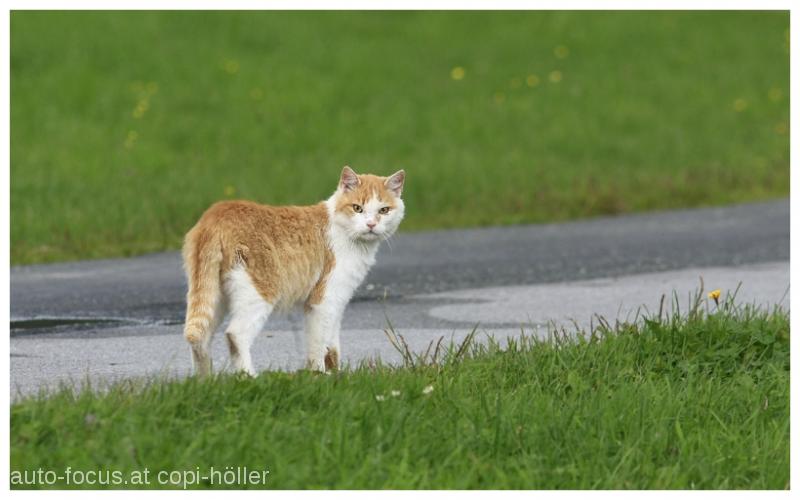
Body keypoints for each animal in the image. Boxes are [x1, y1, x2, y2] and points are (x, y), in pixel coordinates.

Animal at [182, 166, 406, 376]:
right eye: (357, 208)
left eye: (384, 210)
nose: (371, 224)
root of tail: (217, 213)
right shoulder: (323, 302)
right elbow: (317, 346)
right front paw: (319, 375)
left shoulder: (337, 303)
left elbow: (332, 346)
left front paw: (335, 374)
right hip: (259, 294)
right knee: (235, 335)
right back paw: (249, 377)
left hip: (215, 298)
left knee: (200, 339)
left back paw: (206, 382)